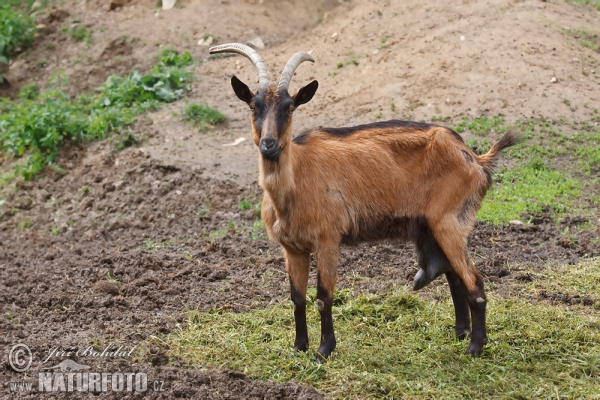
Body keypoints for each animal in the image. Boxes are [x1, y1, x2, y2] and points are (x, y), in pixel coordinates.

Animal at [209, 42, 516, 358]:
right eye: (253, 106)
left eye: (290, 107)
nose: (268, 144)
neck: (295, 183)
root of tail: (475, 158)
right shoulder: (292, 248)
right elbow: (297, 299)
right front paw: (298, 347)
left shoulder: (327, 239)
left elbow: (323, 296)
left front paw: (324, 350)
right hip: (433, 226)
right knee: (454, 276)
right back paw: (459, 332)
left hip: (449, 221)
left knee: (474, 282)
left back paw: (475, 346)